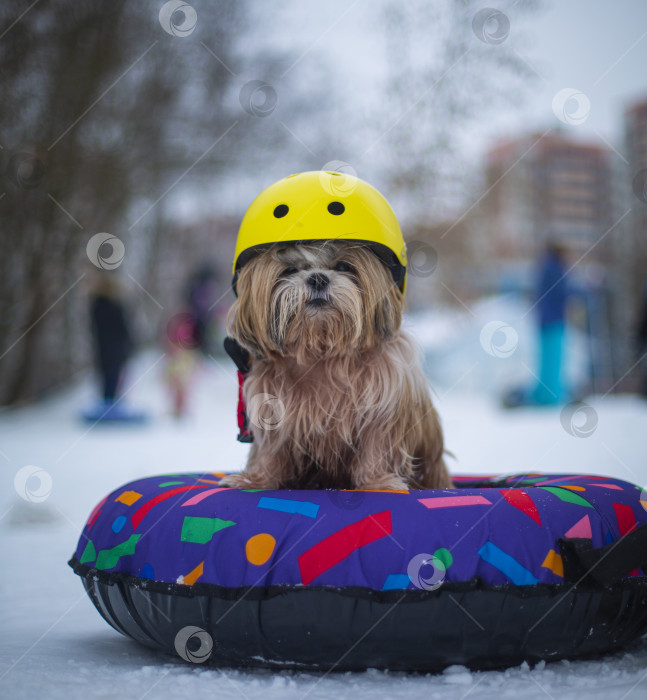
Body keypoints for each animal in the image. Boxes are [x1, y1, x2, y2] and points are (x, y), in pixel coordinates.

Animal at [220, 238, 454, 490]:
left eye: (343, 266)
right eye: (290, 270)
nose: (318, 278)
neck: (321, 353)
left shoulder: (385, 400)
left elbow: (378, 444)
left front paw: (377, 481)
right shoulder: (270, 403)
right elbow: (270, 449)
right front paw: (254, 479)